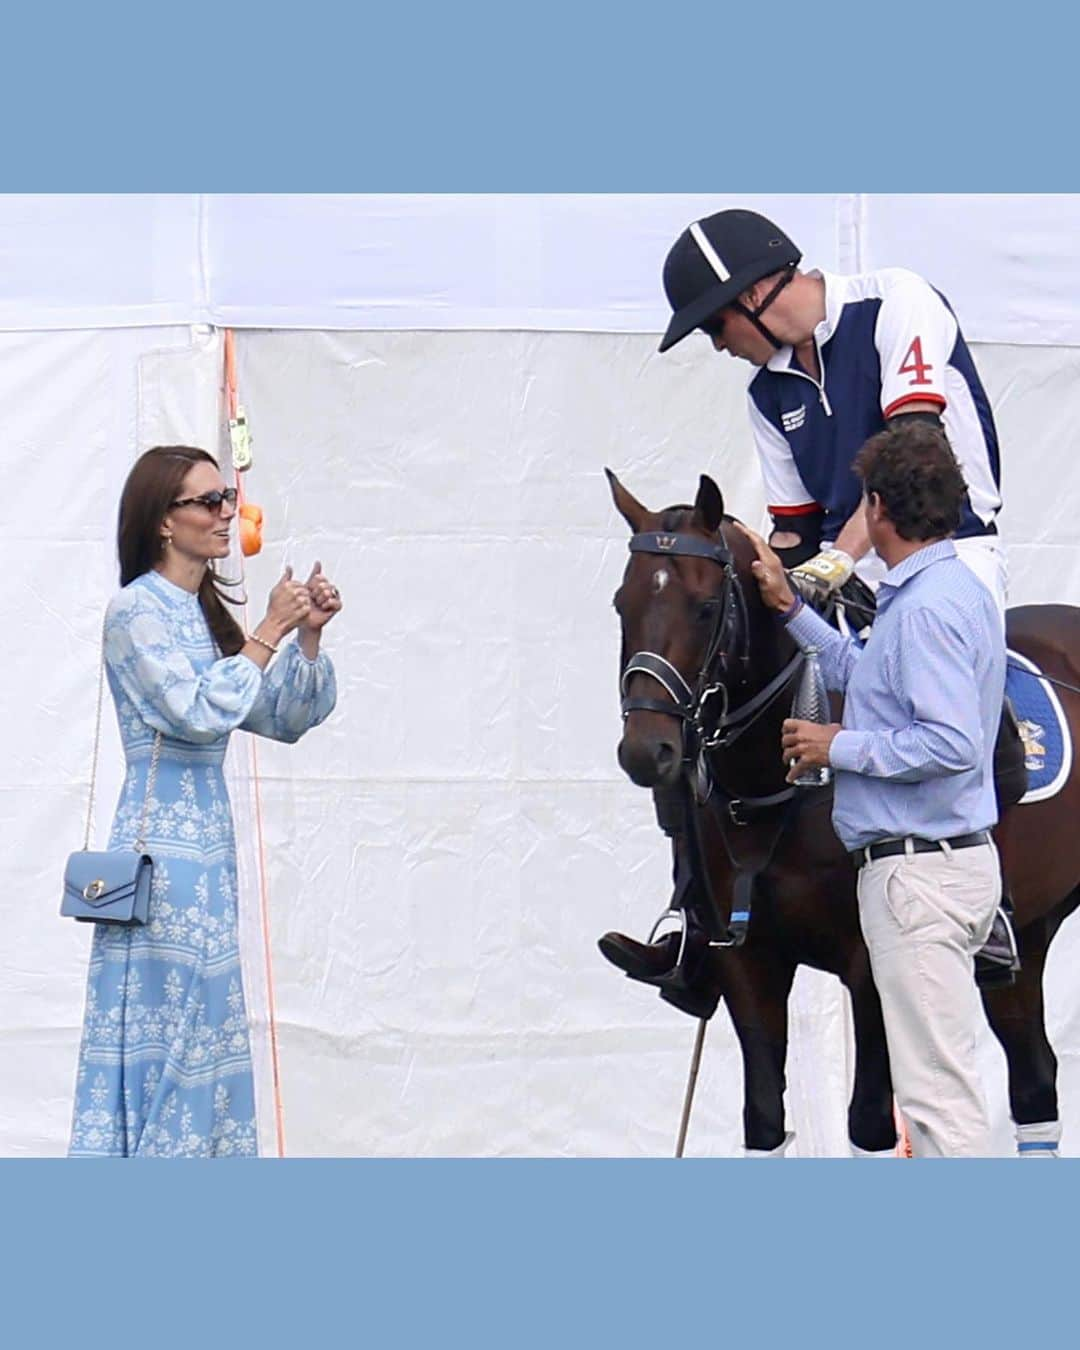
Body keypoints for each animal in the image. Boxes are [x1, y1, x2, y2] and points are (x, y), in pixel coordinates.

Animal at [607, 469, 1080, 1155]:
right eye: (622, 604)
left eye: (704, 606)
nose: (647, 751)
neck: (770, 785)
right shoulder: (746, 959)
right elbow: (764, 1118)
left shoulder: (873, 963)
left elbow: (870, 1123)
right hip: (1034, 934)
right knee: (1035, 1082)